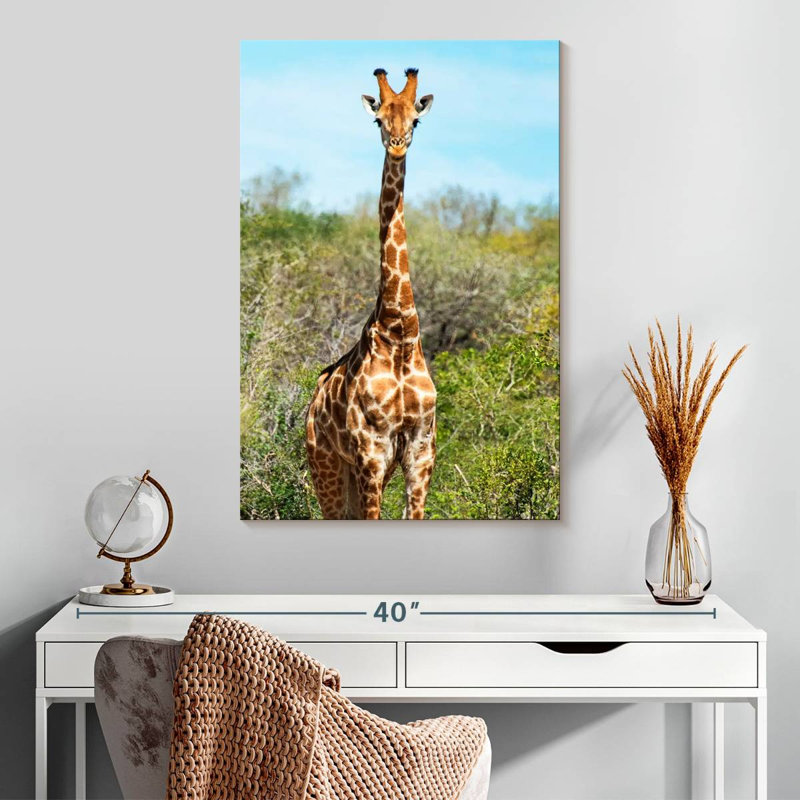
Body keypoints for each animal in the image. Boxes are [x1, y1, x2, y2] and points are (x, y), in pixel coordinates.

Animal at [305, 67, 436, 520]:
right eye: (378, 119)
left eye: (415, 120)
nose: (397, 147)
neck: (400, 331)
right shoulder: (371, 452)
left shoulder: (420, 451)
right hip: (326, 466)